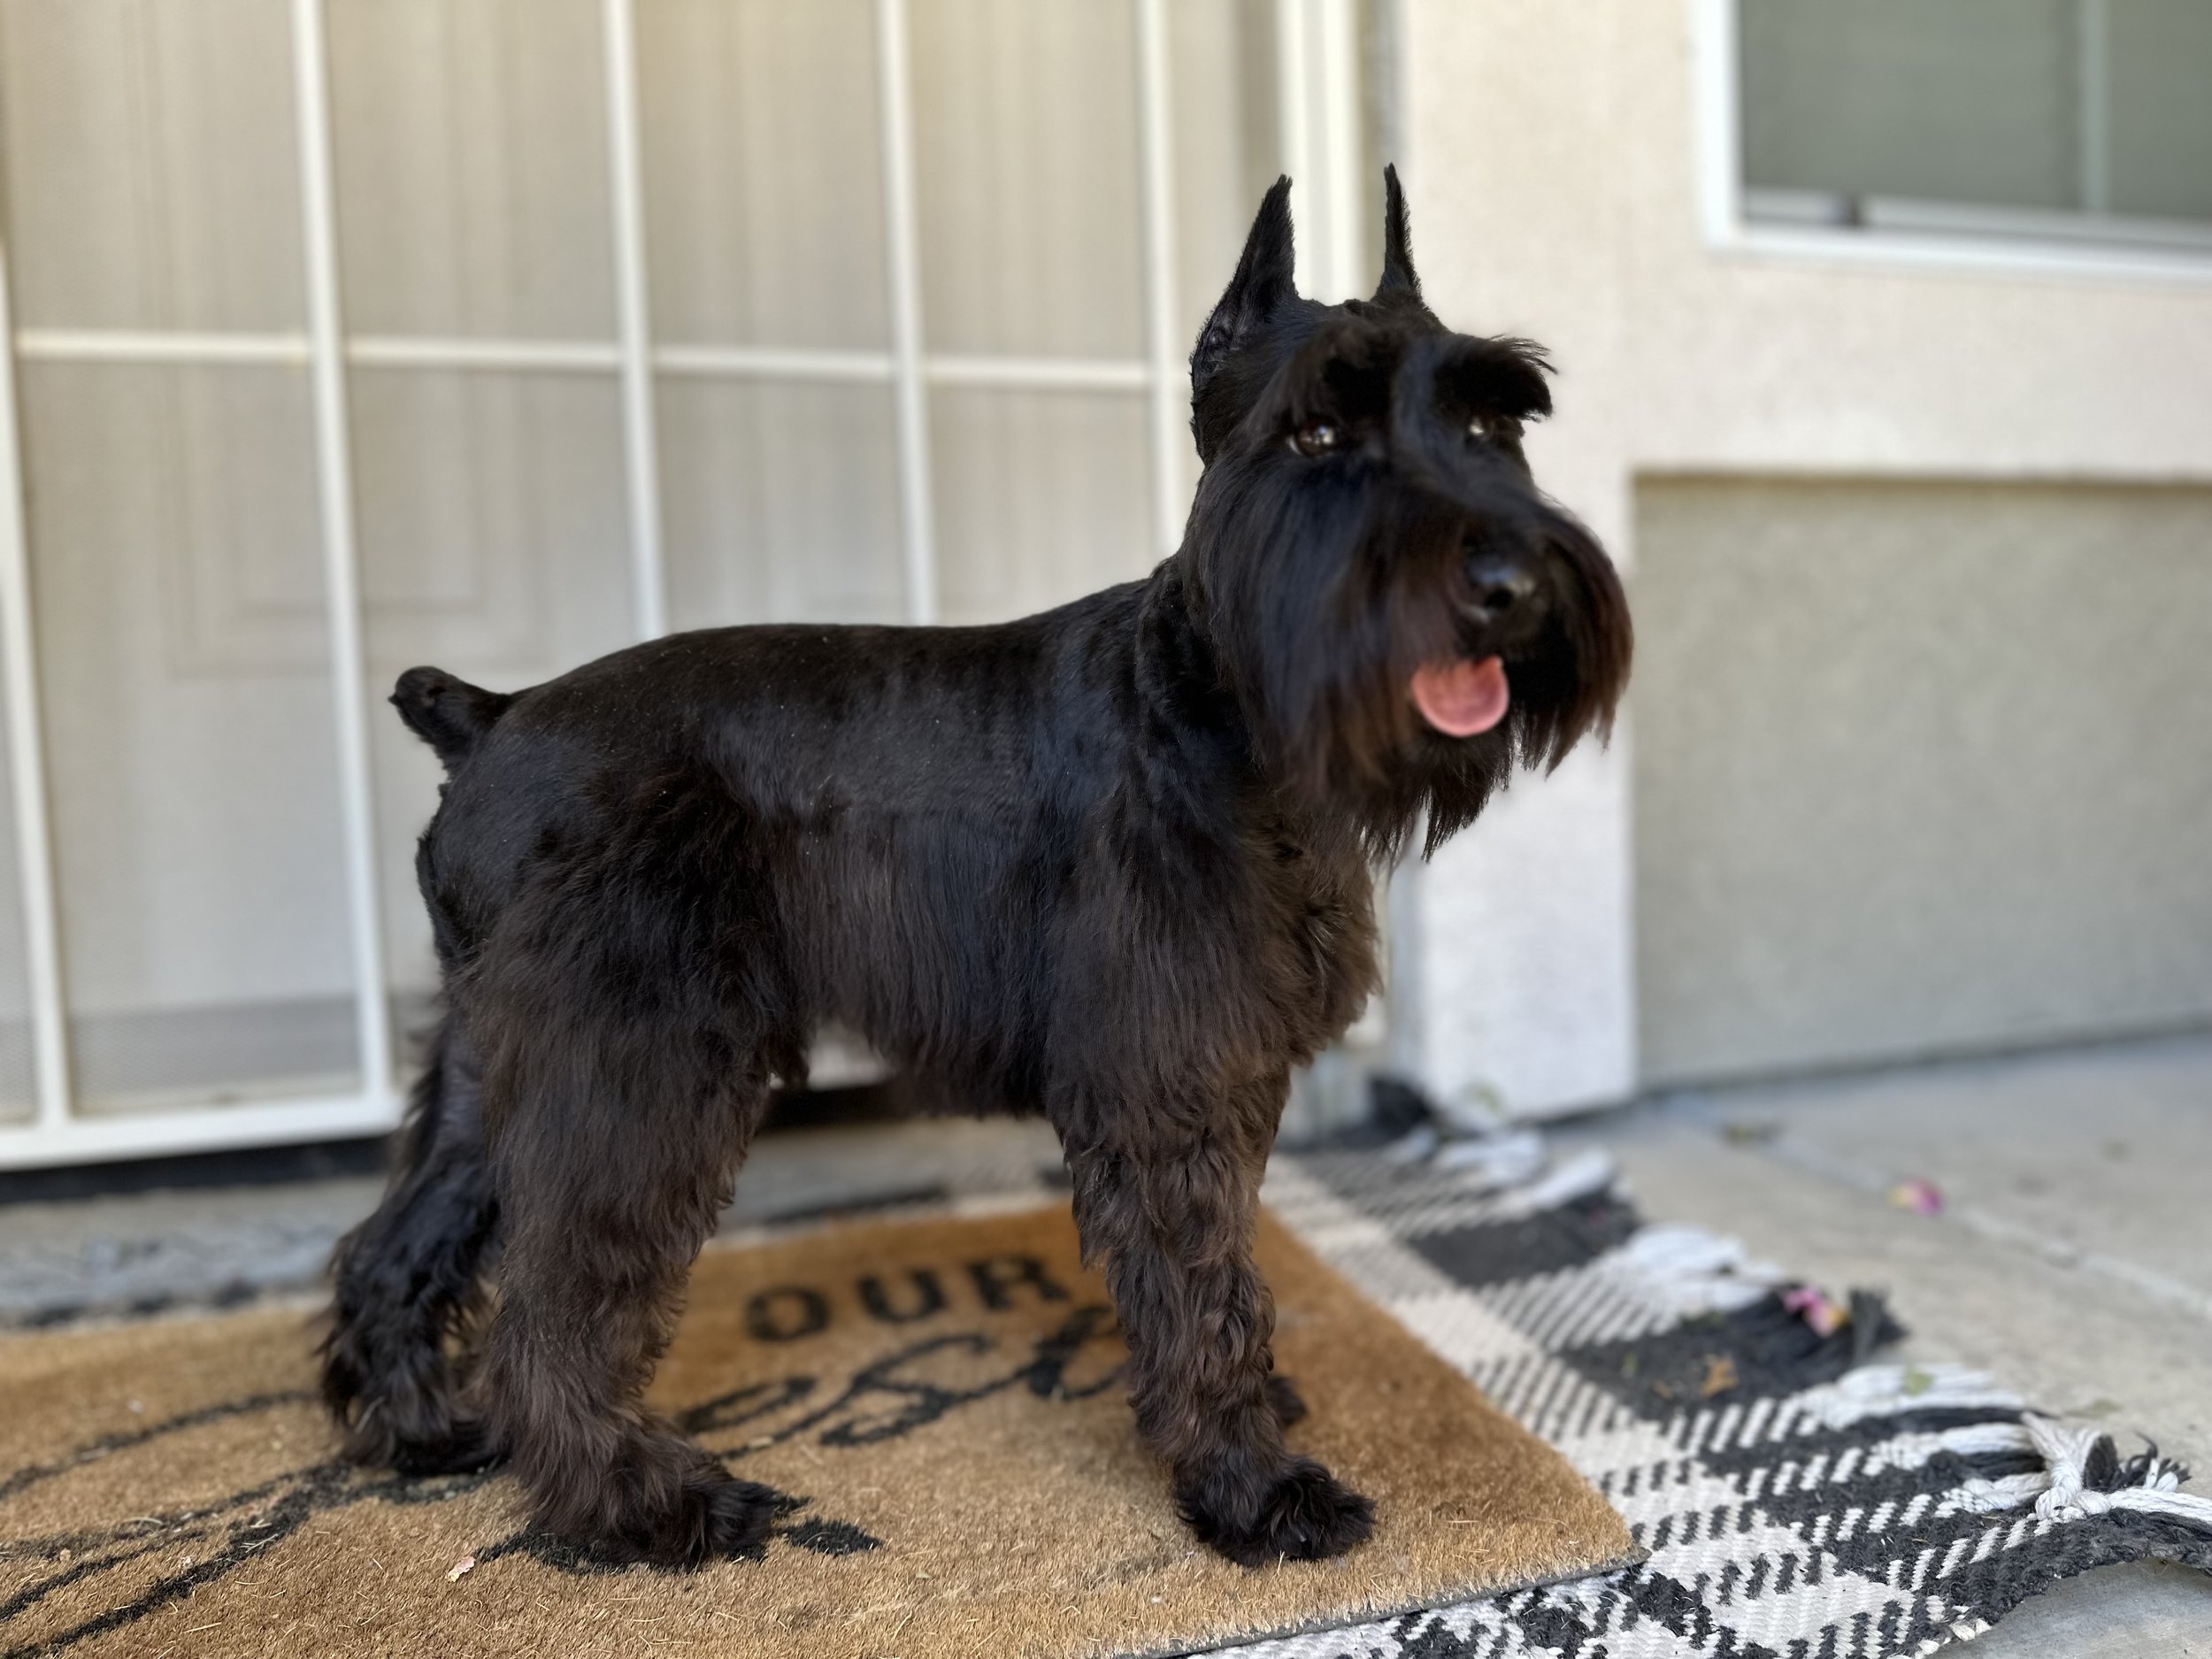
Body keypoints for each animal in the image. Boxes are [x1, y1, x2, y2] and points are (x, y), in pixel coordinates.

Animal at [327, 175, 1637, 1575]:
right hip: (636, 1073)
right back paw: (644, 1503)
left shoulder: (1227, 1073)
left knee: (395, 1246)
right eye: (1318, 426)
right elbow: (1205, 1284)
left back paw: (423, 1432)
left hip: (492, 1067)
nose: (1509, 584)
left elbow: (1227, 1267)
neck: (1213, 705)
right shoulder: (1161, 1088)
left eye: (1493, 417)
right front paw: (1251, 1485)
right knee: (554, 1310)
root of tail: (489, 718)